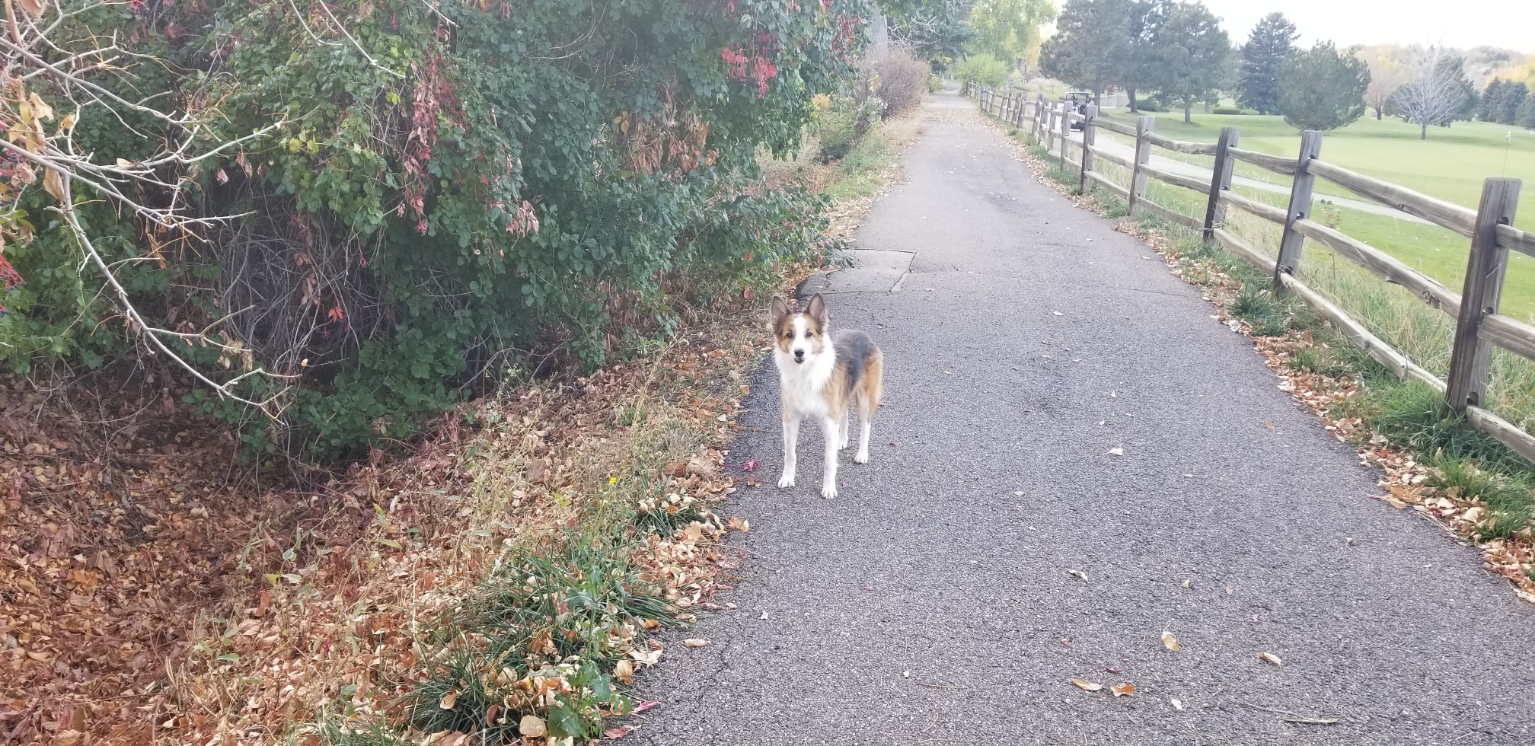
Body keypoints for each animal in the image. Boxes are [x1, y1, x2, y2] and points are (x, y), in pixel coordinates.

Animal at [767, 294, 890, 497]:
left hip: (865, 398)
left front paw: (829, 488)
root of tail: (863, 335)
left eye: (809, 334)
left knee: (866, 425)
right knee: (845, 416)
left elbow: (829, 461)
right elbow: (790, 454)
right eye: (789, 335)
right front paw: (787, 478)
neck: (805, 373)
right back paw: (842, 441)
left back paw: (862, 454)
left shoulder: (828, 421)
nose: (799, 352)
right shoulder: (790, 418)